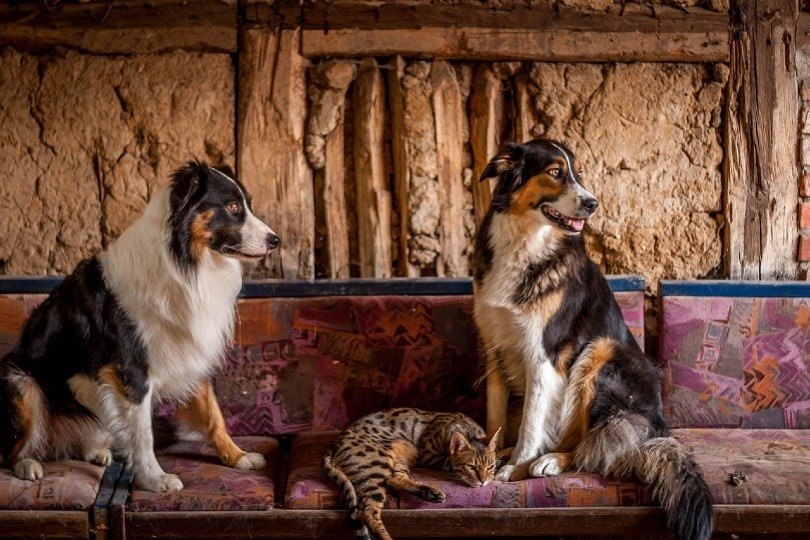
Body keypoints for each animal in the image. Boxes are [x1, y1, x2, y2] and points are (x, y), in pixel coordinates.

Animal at [0, 158, 280, 492]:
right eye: (233, 206)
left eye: (247, 204)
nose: (276, 240)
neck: (186, 262)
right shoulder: (131, 370)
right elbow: (143, 433)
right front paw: (154, 478)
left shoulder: (190, 348)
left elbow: (214, 414)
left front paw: (237, 456)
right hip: (21, 382)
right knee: (11, 449)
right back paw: (28, 464)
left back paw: (97, 452)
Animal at [318, 410, 496, 540]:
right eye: (471, 467)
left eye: (490, 466)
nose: (483, 482)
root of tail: (333, 444)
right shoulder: (429, 456)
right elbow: (448, 463)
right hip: (376, 465)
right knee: (367, 511)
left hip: (400, 458)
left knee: (394, 479)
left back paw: (431, 493)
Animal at [470, 140, 712, 540]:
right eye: (555, 172)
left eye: (577, 173)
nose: (592, 203)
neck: (526, 239)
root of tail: (657, 426)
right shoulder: (495, 349)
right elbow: (495, 418)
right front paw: (491, 456)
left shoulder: (544, 355)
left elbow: (532, 423)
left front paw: (515, 468)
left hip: (600, 353)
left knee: (595, 447)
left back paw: (551, 460)